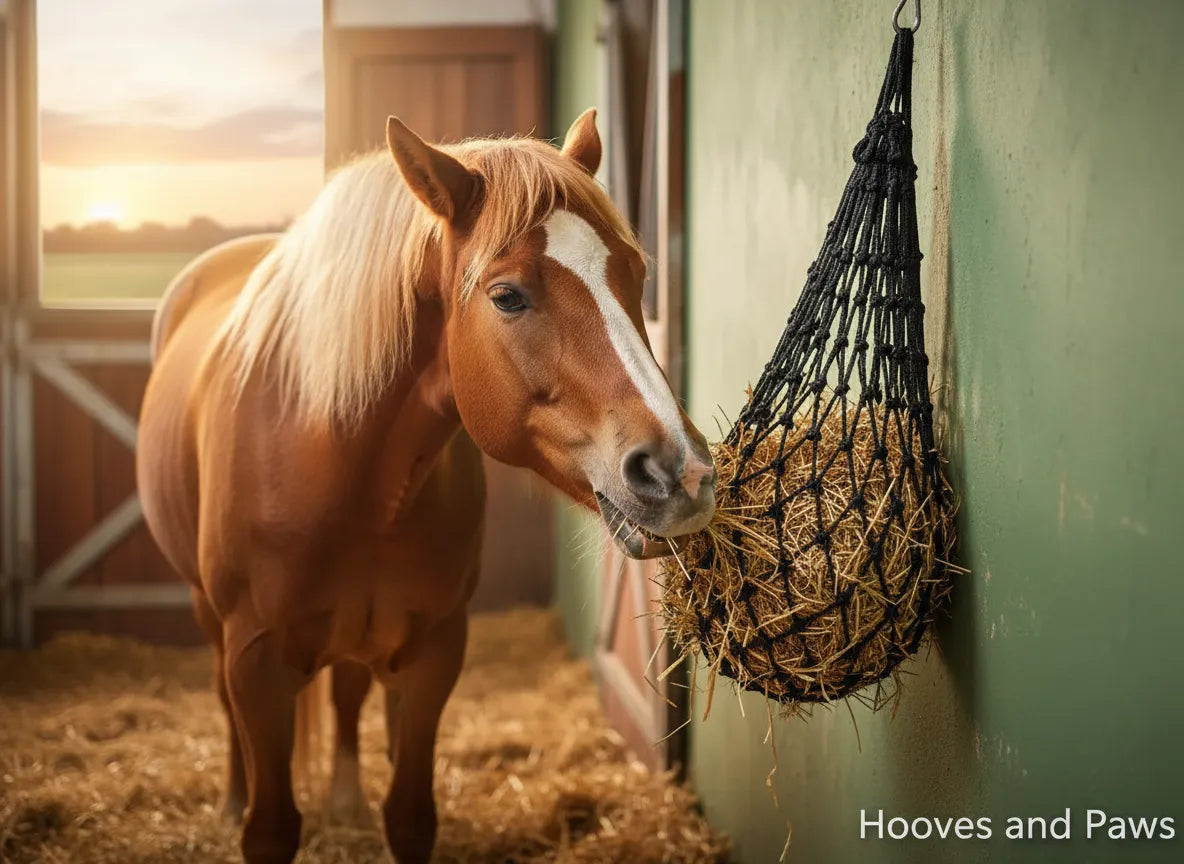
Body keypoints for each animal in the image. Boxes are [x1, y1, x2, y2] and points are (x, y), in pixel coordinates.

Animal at [136, 109, 717, 864]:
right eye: (507, 295)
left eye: (636, 272)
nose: (682, 473)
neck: (341, 468)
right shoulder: (256, 662)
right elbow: (269, 828)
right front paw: (250, 812)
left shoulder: (433, 654)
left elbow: (409, 816)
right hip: (209, 614)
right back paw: (233, 797)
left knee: (348, 691)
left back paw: (345, 801)